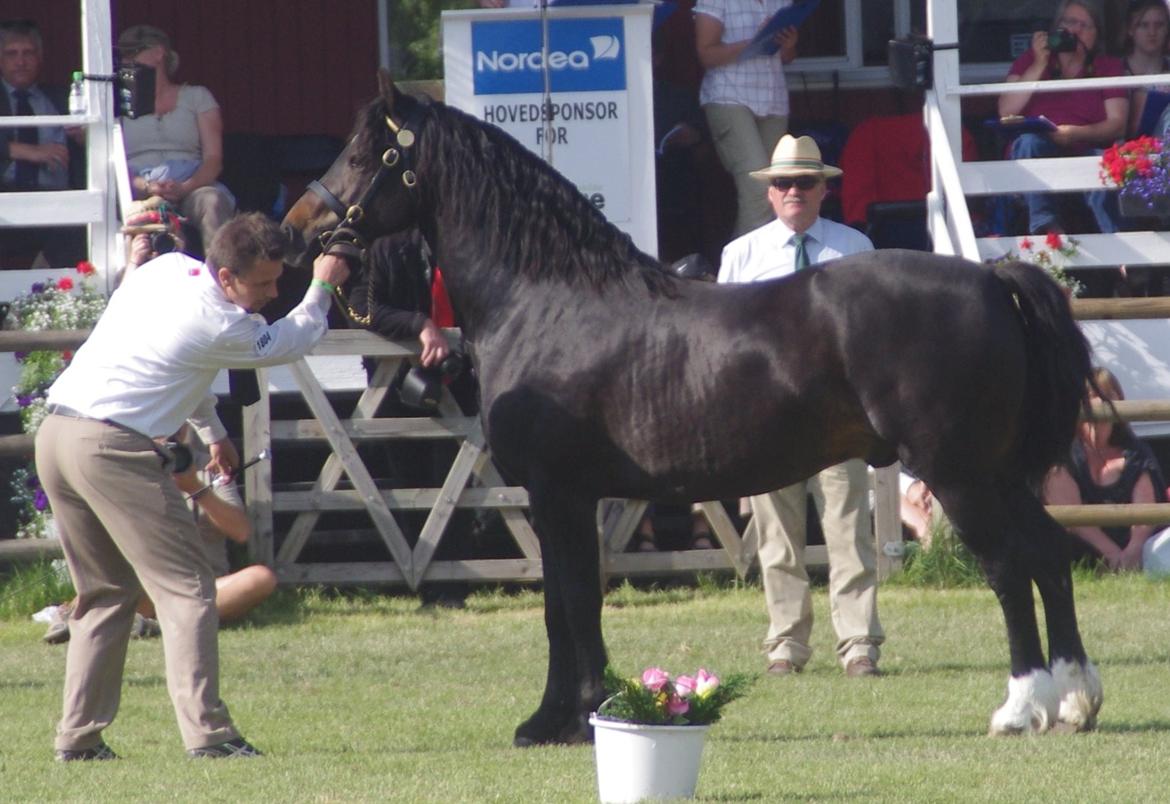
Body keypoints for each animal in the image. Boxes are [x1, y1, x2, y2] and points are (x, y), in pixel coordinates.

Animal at [283, 75, 1104, 748]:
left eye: (364, 155)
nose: (295, 228)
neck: (547, 299)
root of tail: (992, 279)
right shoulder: (574, 498)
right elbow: (576, 605)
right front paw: (581, 712)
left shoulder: (556, 494)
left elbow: (566, 606)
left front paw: (558, 719)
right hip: (998, 474)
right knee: (1049, 554)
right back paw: (1075, 701)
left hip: (960, 473)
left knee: (1009, 566)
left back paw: (1020, 708)